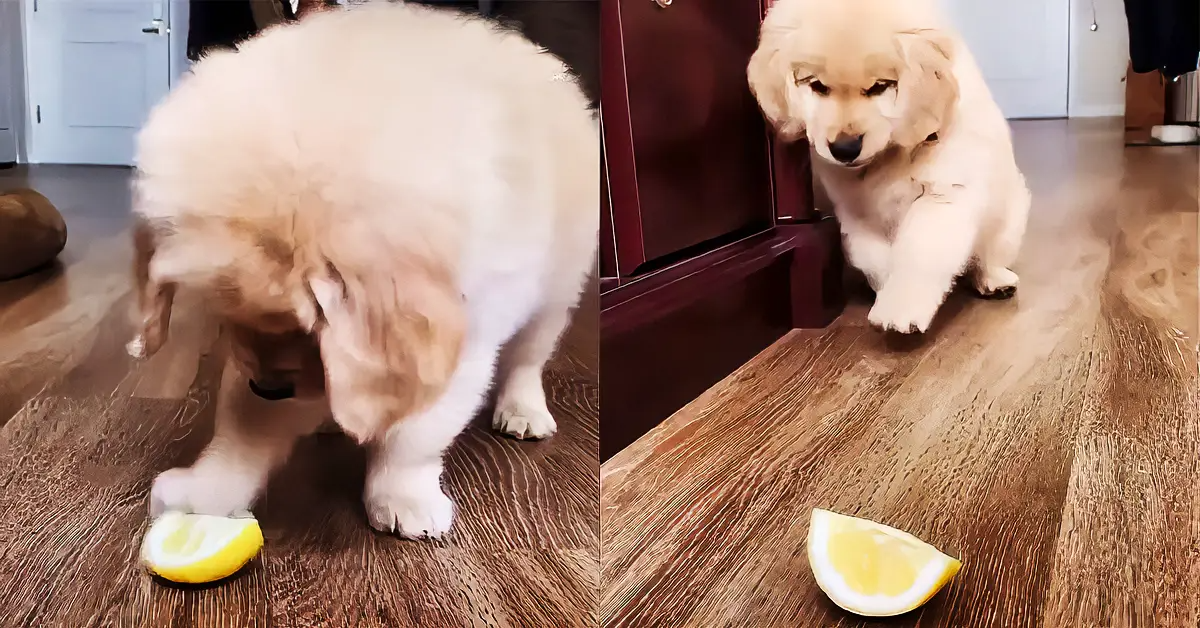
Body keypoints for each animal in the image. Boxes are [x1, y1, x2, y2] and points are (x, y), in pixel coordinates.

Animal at [129, 2, 597, 537]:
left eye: (303, 327)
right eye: (229, 318)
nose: (270, 387)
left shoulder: (454, 350)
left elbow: (412, 437)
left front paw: (402, 499)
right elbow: (242, 428)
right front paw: (206, 492)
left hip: (556, 290)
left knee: (527, 359)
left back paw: (522, 411)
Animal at [744, 0, 1027, 333]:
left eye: (880, 87)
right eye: (817, 86)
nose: (845, 149)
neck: (890, 154)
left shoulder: (943, 197)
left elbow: (919, 256)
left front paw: (900, 309)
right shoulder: (857, 213)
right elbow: (876, 259)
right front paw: (884, 294)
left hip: (1010, 217)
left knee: (986, 257)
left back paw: (995, 280)